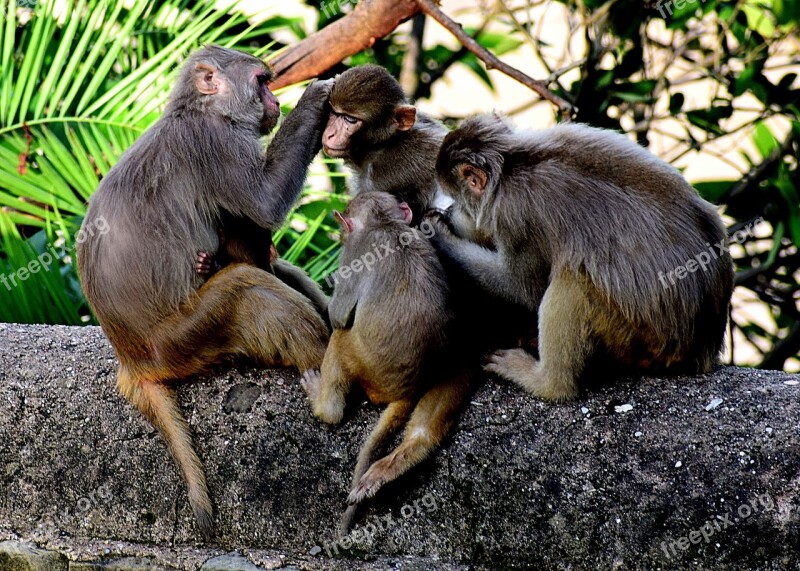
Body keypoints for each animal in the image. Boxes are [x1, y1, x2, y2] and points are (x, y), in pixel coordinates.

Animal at [76, 45, 332, 540]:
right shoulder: (216, 143)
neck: (198, 111)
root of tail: (132, 361)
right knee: (245, 288)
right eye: (262, 82)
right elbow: (264, 203)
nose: (276, 102)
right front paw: (317, 97)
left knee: (268, 274)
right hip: (182, 340)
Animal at [304, 191, 472, 532]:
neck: (386, 225)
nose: (341, 235)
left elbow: (338, 316)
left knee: (340, 339)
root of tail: (407, 390)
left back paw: (323, 406)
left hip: (362, 364)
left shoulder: (354, 255)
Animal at [428, 115, 736, 402]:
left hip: (640, 338)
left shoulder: (514, 214)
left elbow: (522, 287)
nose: (453, 210)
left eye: (458, 199)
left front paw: (442, 234)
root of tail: (701, 349)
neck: (512, 164)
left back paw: (548, 383)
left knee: (573, 283)